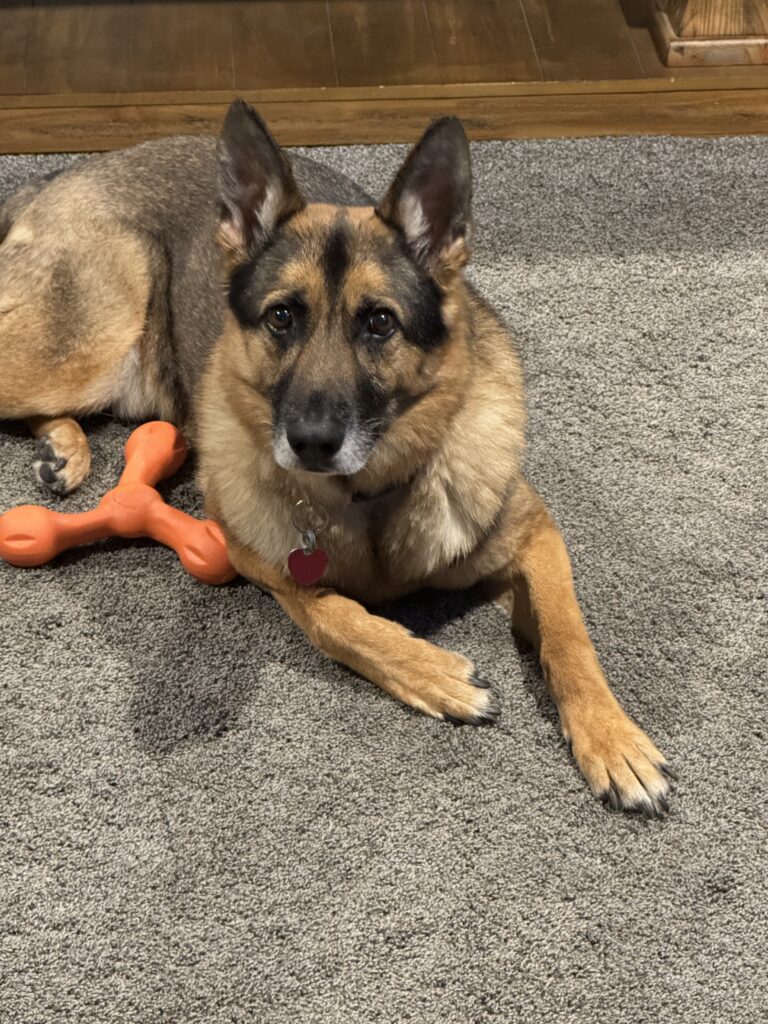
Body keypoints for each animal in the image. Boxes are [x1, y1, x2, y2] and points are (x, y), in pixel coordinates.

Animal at [0, 100, 675, 816]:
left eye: (379, 322)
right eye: (281, 318)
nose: (312, 442)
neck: (371, 496)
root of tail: (64, 173)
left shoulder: (535, 538)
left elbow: (569, 635)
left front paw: (613, 739)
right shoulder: (254, 554)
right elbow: (334, 617)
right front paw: (431, 671)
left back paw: (63, 448)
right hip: (90, 346)